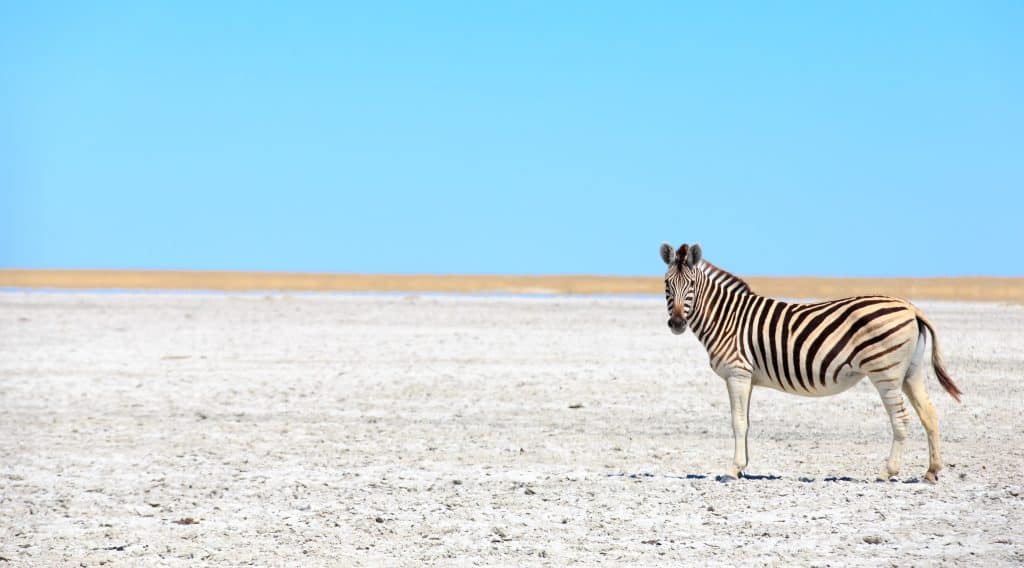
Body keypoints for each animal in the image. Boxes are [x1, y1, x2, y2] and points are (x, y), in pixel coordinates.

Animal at [660, 242, 962, 482]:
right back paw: (931, 471)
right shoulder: (747, 378)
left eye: (691, 286)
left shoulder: (737, 373)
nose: (676, 323)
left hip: (884, 371)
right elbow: (747, 422)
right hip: (911, 371)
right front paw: (744, 466)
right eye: (667, 285)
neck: (725, 317)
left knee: (901, 418)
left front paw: (733, 470)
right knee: (929, 413)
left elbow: (738, 422)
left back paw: (888, 472)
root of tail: (911, 307)